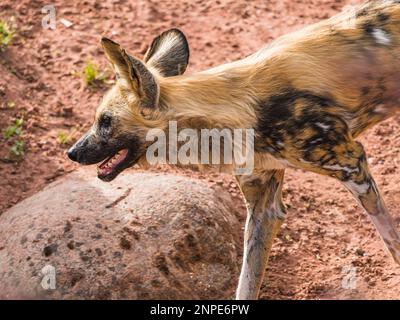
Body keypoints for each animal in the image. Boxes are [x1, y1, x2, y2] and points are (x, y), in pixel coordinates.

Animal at [70, 1, 400, 298]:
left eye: (105, 121)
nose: (71, 153)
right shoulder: (265, 208)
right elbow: (247, 282)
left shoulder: (352, 165)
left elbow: (393, 244)